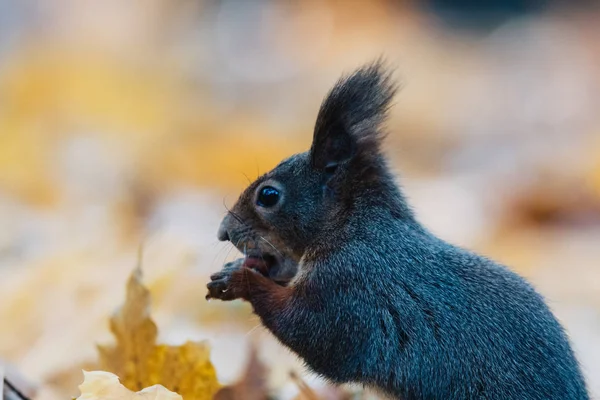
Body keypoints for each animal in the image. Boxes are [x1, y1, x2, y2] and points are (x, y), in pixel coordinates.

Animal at [204, 61, 588, 398]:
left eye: (268, 196)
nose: (223, 232)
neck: (354, 229)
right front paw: (241, 267)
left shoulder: (353, 289)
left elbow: (313, 333)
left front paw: (243, 280)